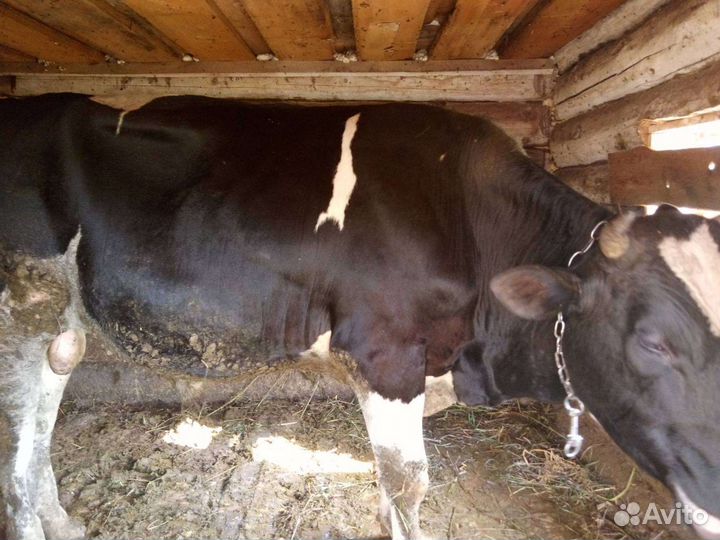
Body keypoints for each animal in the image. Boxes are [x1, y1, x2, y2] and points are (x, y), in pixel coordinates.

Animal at [1, 93, 719, 540]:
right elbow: (409, 483)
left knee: (38, 438)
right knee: (16, 456)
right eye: (654, 342)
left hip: (60, 330)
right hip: (22, 312)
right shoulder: (387, 354)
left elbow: (387, 483)